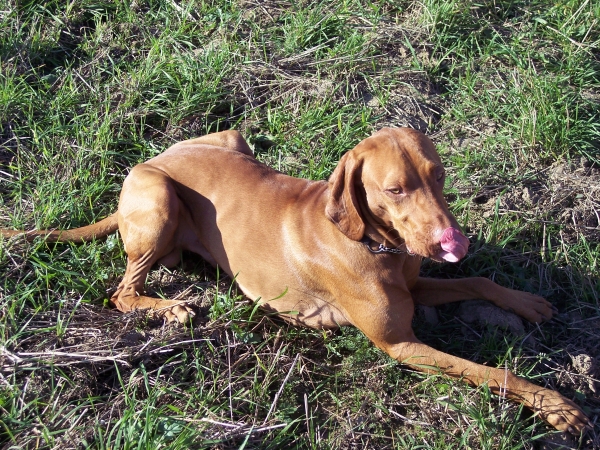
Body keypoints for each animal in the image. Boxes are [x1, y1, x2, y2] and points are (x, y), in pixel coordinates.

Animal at [1, 128, 590, 433]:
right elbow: (492, 372)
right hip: (159, 197)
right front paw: (557, 407)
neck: (370, 243)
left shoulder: (416, 285)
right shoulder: (400, 344)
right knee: (122, 291)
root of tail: (152, 157)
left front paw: (527, 302)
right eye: (395, 189)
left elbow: (482, 282)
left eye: (438, 174)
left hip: (231, 139)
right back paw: (169, 308)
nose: (453, 240)